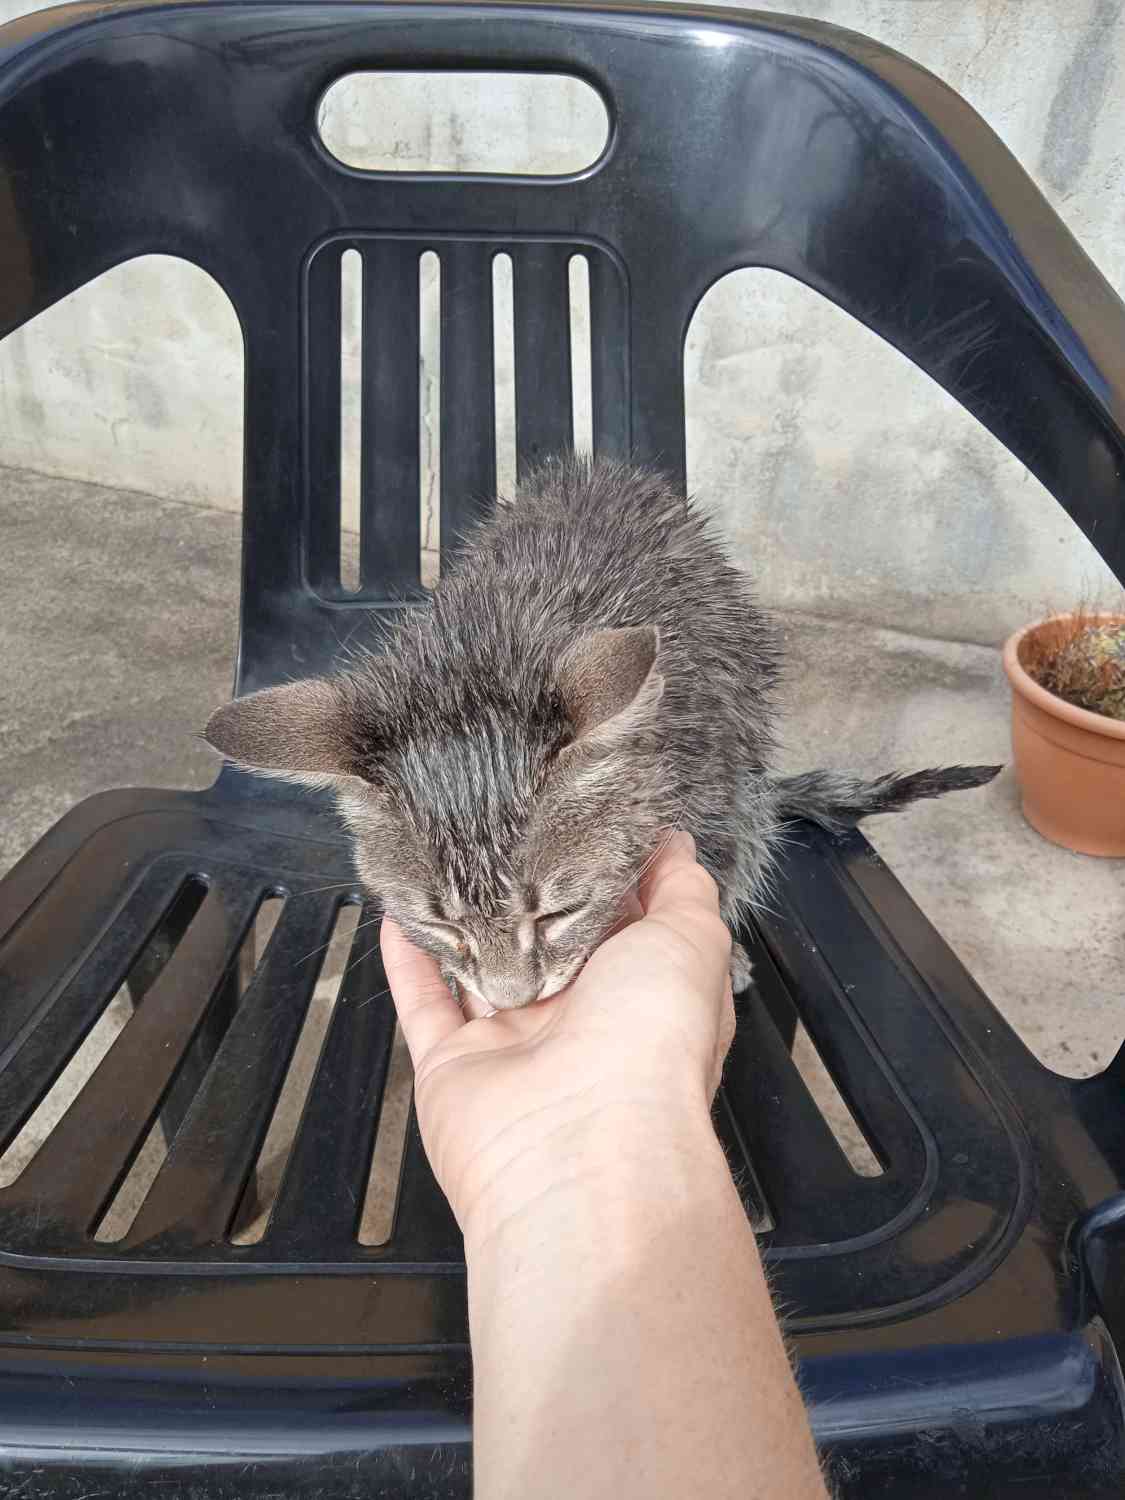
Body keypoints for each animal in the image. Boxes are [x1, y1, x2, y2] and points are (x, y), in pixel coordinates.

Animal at [204, 457, 999, 1011]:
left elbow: (718, 873)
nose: (511, 1001)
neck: (486, 651)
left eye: (559, 912)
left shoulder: (716, 794)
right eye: (445, 926)